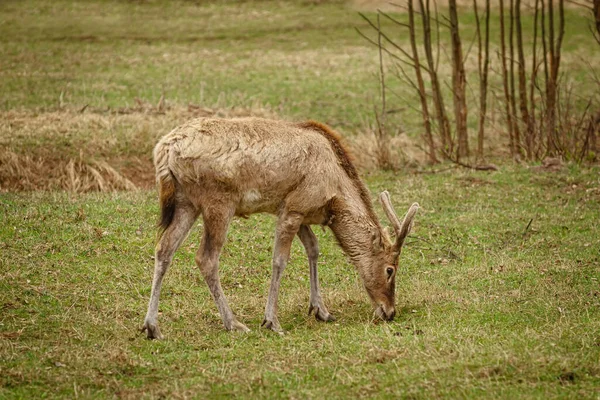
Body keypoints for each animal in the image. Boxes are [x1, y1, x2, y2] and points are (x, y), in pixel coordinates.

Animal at [141, 117, 418, 340]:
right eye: (390, 269)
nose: (390, 311)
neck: (333, 197)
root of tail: (164, 150)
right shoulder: (294, 207)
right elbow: (280, 260)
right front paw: (271, 321)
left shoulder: (299, 211)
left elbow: (313, 249)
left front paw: (321, 310)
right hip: (217, 201)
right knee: (206, 257)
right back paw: (233, 323)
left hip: (185, 202)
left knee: (164, 248)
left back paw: (152, 327)